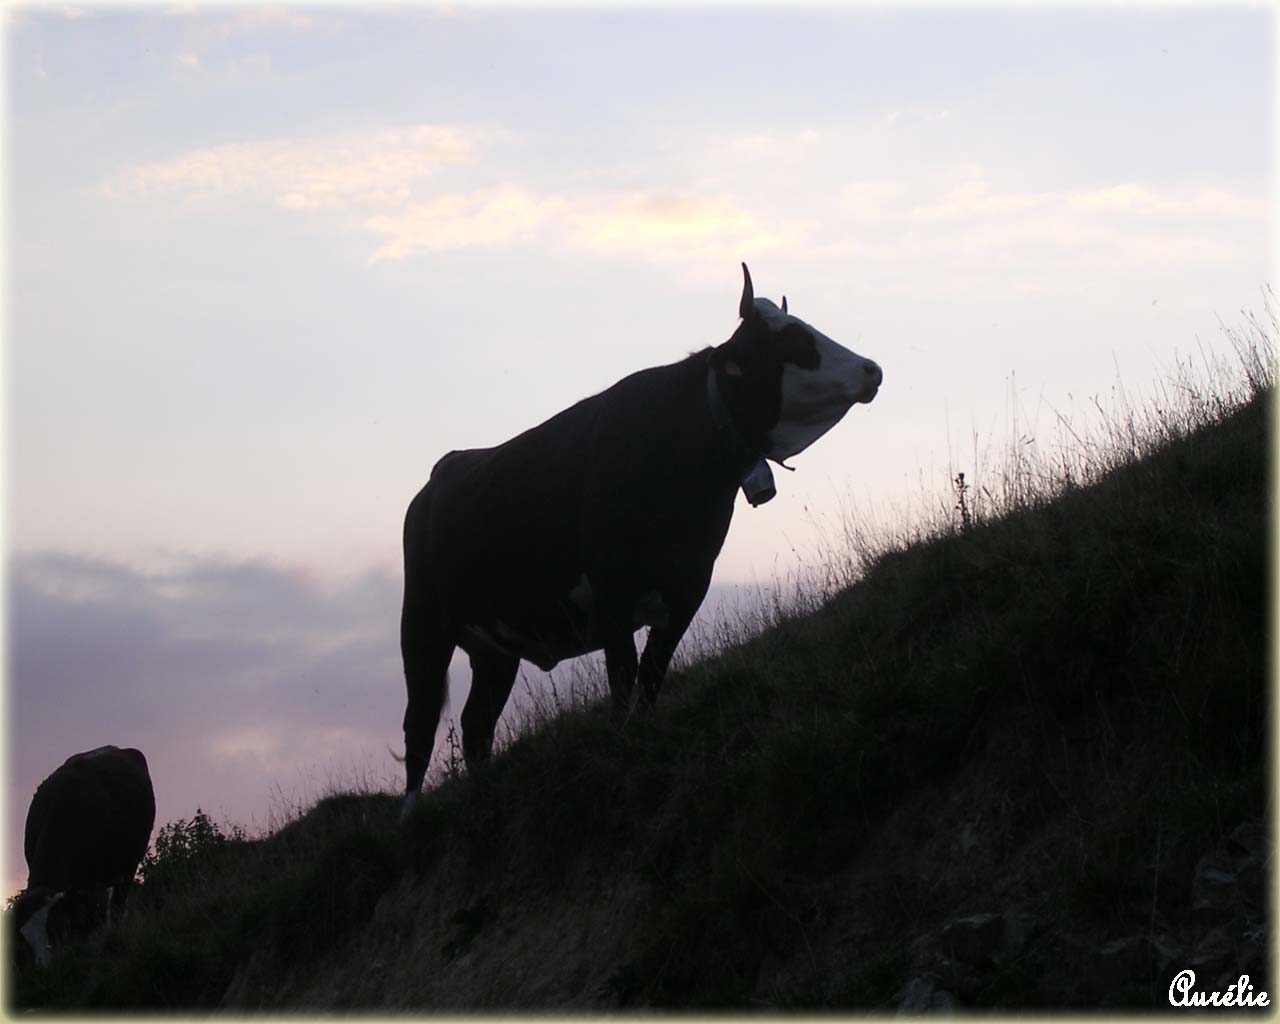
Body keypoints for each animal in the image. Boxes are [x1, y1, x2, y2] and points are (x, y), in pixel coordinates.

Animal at [11, 742, 156, 967]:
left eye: (55, 928)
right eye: (25, 943)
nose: (44, 967)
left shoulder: (90, 884)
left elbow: (91, 922)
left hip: (128, 864)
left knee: (116, 906)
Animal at [396, 263, 880, 814]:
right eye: (794, 340)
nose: (872, 370)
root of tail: (439, 475)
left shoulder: (688, 587)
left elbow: (650, 680)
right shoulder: (611, 595)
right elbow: (623, 682)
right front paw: (620, 748)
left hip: (495, 646)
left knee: (477, 723)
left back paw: (485, 796)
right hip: (423, 627)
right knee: (420, 723)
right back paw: (410, 816)